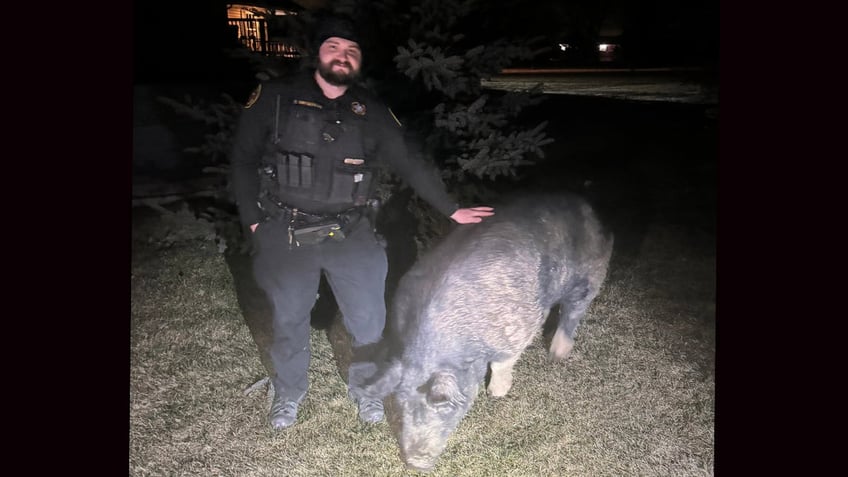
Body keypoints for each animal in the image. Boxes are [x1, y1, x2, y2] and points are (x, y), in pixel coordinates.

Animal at [348, 192, 612, 470]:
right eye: (402, 405)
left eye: (441, 406)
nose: (415, 463)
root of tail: (586, 205)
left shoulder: (515, 328)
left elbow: (502, 363)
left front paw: (495, 394)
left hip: (590, 274)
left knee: (574, 310)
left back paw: (557, 354)